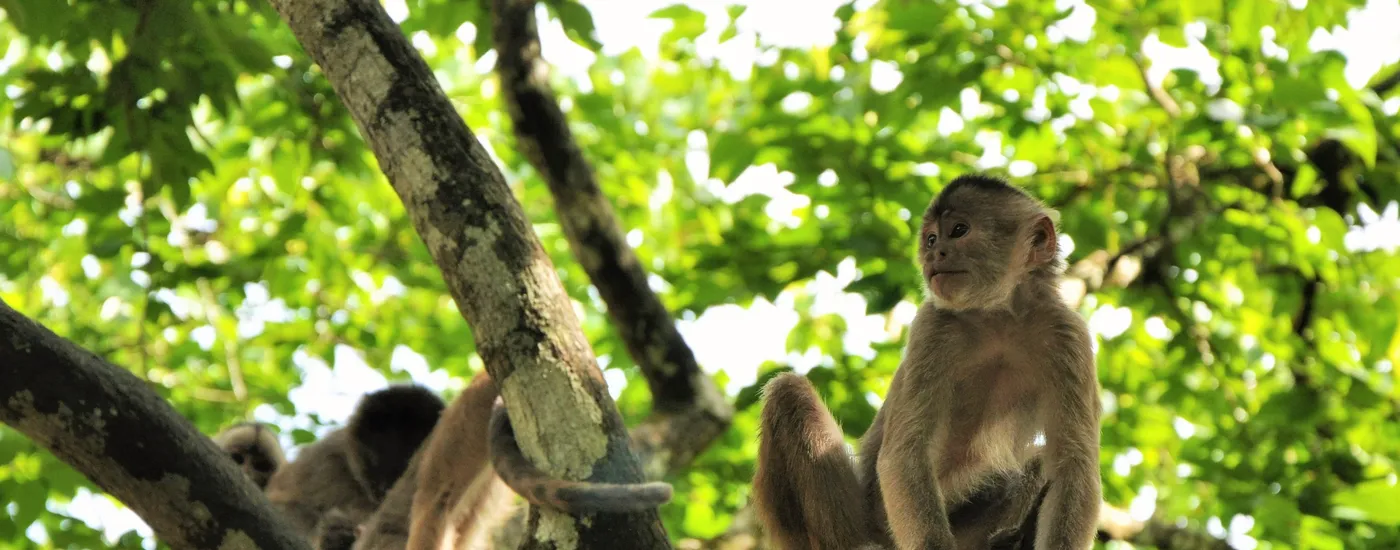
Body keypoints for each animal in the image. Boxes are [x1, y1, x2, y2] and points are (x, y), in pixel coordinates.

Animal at [752, 173, 1102, 550]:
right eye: (932, 239)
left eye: (959, 230)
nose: (935, 253)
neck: (998, 318)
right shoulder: (932, 327)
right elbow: (906, 451)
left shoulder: (1067, 335)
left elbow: (1071, 466)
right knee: (788, 390)